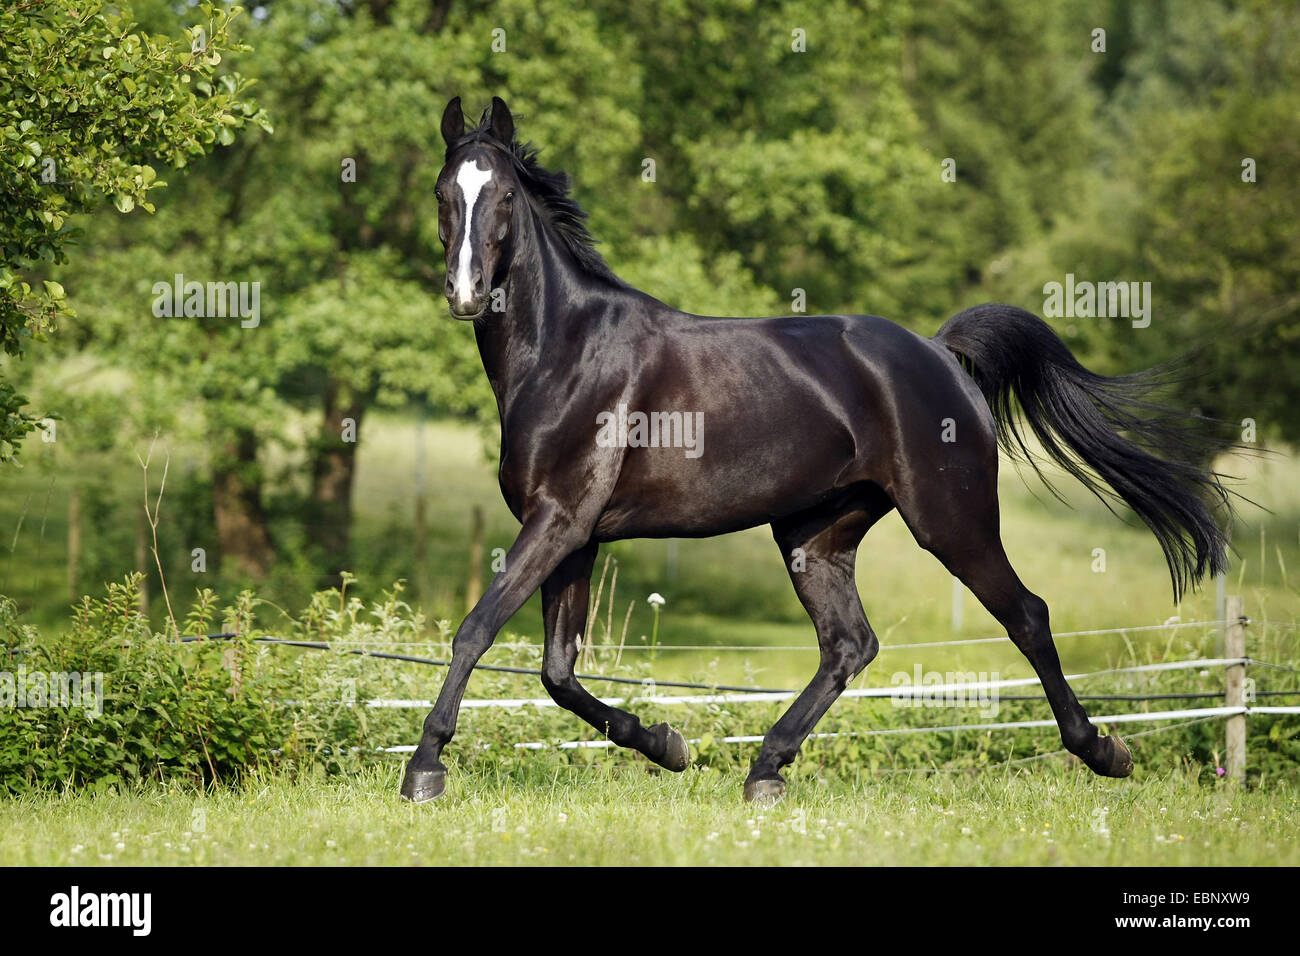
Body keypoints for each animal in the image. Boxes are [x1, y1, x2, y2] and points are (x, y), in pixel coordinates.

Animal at [401, 95, 1231, 804]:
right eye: (443, 193)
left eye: (504, 197)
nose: (465, 293)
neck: (566, 350)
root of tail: (938, 351)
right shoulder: (576, 534)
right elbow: (558, 671)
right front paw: (668, 744)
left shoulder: (559, 520)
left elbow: (477, 630)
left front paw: (424, 768)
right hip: (815, 533)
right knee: (849, 645)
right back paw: (765, 769)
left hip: (951, 521)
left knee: (1025, 614)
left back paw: (1105, 752)